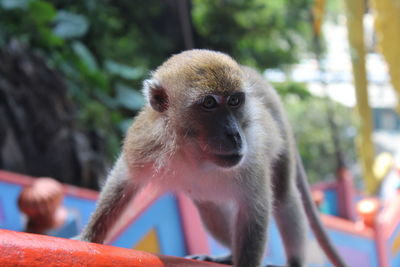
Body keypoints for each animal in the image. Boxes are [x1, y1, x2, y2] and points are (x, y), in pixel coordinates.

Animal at [79, 49, 346, 267]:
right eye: (209, 103)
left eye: (235, 100)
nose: (234, 135)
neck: (192, 152)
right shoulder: (146, 142)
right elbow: (125, 179)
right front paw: (88, 237)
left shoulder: (251, 158)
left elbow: (254, 209)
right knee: (210, 209)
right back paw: (228, 255)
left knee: (283, 196)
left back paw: (293, 262)